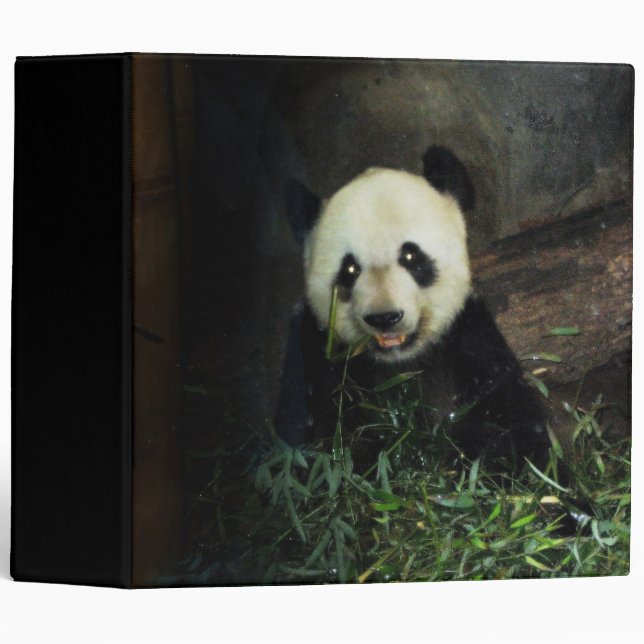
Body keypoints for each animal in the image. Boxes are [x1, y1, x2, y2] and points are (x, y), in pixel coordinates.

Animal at [275, 146, 551, 470]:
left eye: (410, 256)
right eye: (350, 269)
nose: (384, 317)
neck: (401, 362)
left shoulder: (468, 340)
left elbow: (511, 426)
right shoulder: (317, 355)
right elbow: (324, 445)